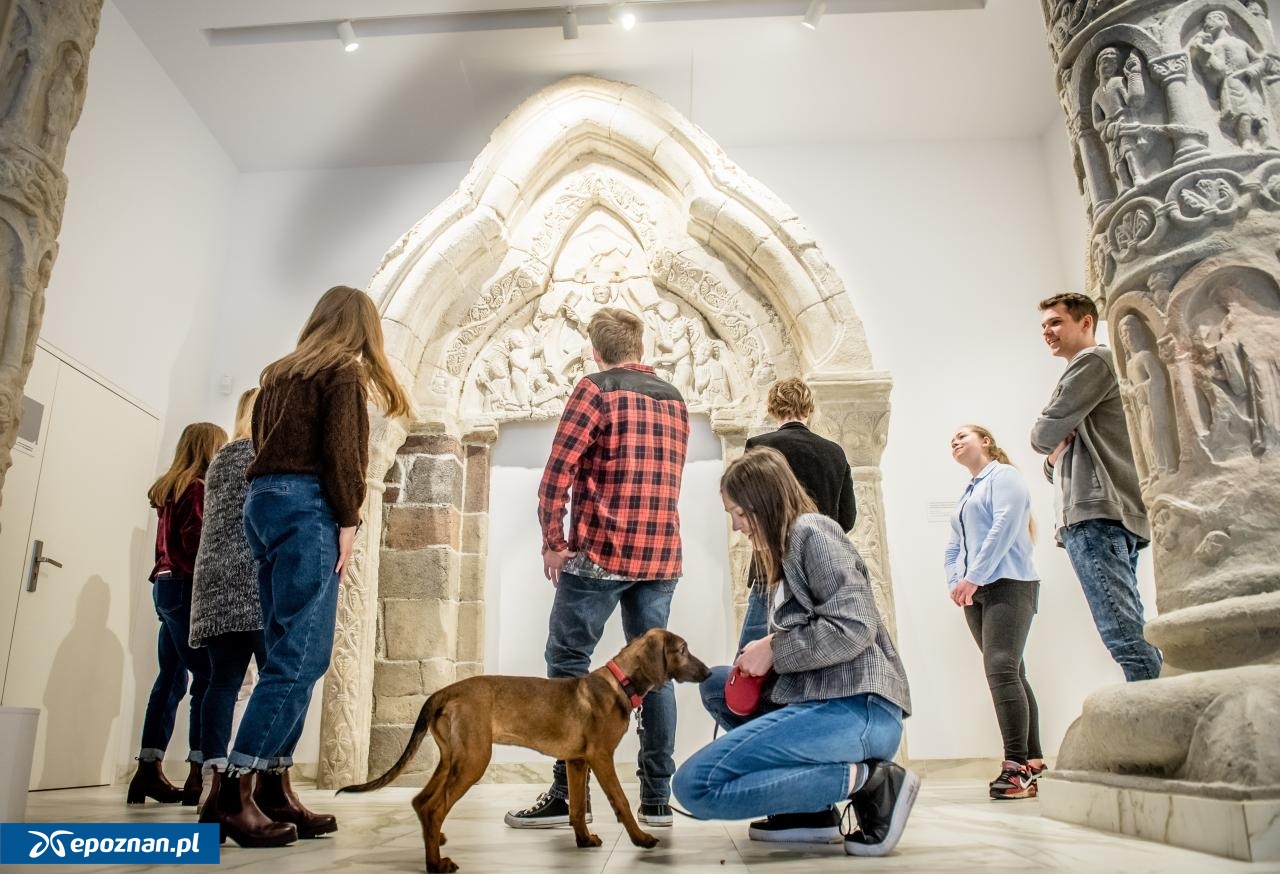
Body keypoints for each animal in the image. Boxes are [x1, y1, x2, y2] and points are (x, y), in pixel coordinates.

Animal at [337, 629, 711, 870]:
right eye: (683, 649)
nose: (708, 673)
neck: (620, 683)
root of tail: (444, 692)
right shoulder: (600, 757)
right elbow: (620, 801)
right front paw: (641, 838)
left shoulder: (576, 761)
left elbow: (577, 808)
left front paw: (584, 839)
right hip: (474, 760)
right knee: (433, 806)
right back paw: (435, 863)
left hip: (453, 757)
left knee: (421, 801)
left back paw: (436, 840)